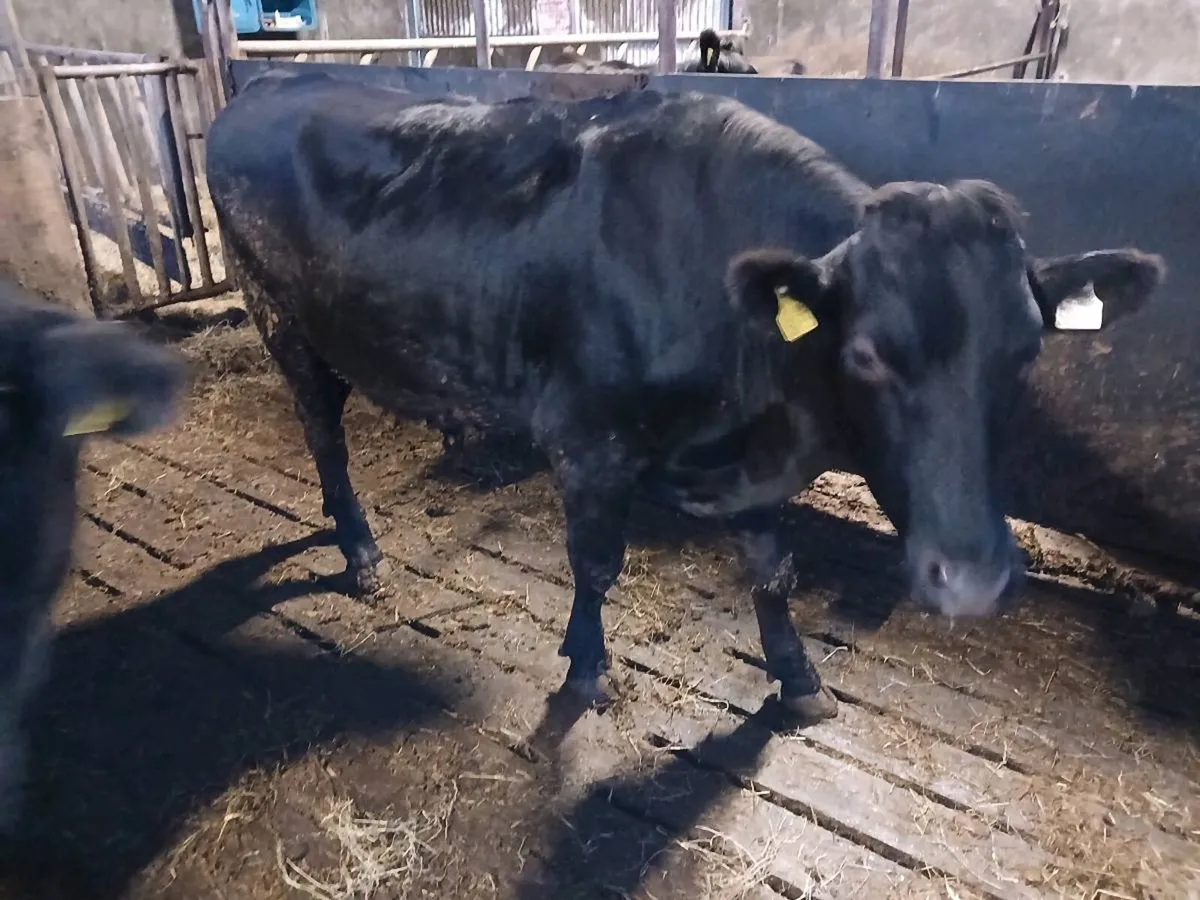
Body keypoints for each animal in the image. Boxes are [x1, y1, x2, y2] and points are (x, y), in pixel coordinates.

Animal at [206, 70, 1164, 724]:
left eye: (1027, 351)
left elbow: (772, 566)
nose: (973, 580)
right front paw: (585, 670)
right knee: (324, 436)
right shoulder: (588, 441)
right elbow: (596, 564)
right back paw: (359, 551)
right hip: (281, 318)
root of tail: (269, 82)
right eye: (865, 355)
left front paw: (798, 680)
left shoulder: (739, 446)